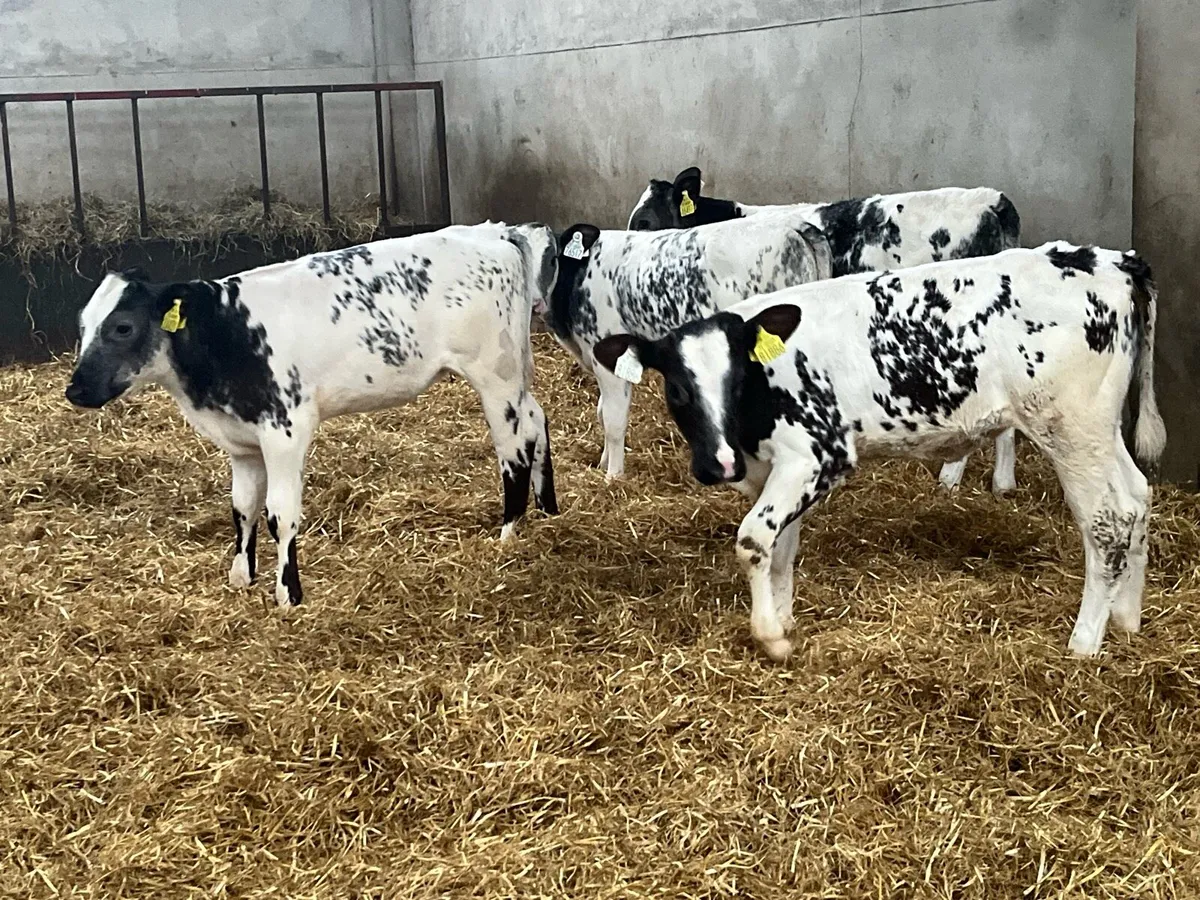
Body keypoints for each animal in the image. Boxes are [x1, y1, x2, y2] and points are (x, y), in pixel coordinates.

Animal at [65, 221, 561, 608]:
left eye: (122, 327)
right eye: (83, 325)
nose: (76, 389)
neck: (226, 333)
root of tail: (496, 232)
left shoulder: (286, 429)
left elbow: (279, 513)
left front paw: (289, 594)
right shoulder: (242, 442)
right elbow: (242, 508)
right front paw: (241, 577)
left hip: (494, 375)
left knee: (514, 449)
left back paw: (509, 534)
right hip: (515, 374)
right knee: (537, 421)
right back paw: (548, 511)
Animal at [545, 213, 832, 479]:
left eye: (551, 258)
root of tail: (794, 225)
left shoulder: (606, 359)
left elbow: (614, 420)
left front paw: (613, 476)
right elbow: (602, 412)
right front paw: (603, 462)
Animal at [592, 242, 1166, 661]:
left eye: (737, 382)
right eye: (677, 390)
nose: (719, 463)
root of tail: (1109, 260)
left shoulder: (818, 455)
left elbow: (755, 539)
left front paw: (771, 637)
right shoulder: (775, 469)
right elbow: (782, 548)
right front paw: (784, 618)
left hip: (1069, 429)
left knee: (1107, 522)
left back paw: (1084, 642)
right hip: (1100, 429)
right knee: (1137, 497)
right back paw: (1126, 620)